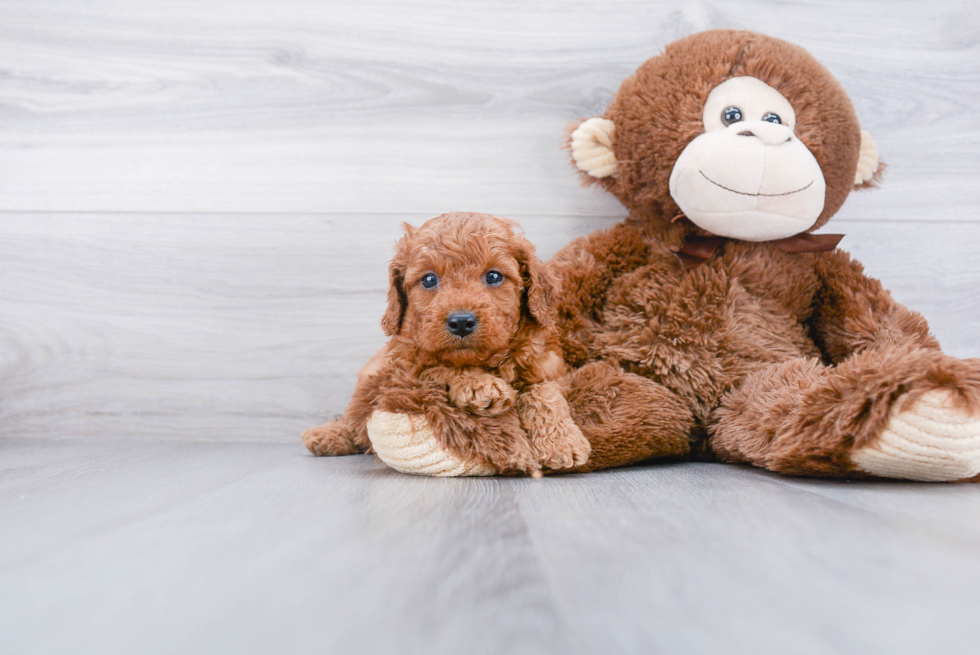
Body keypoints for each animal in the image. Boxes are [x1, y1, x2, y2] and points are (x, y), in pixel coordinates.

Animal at [302, 213, 588, 474]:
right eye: (429, 279)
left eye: (494, 276)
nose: (461, 322)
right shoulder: (406, 367)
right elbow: (439, 367)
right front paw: (478, 386)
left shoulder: (550, 367)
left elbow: (545, 393)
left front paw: (562, 442)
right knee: (354, 416)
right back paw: (327, 435)